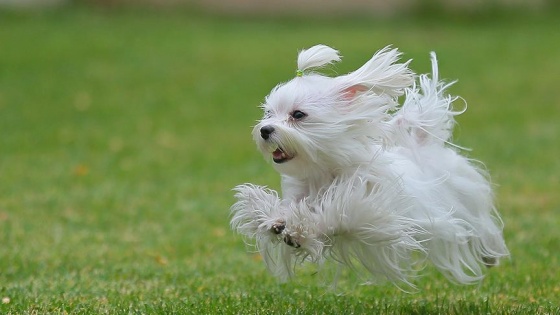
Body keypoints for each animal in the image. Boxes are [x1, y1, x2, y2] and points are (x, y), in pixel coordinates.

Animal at [230, 45, 510, 286]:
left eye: (298, 115)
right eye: (268, 113)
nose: (265, 130)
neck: (323, 171)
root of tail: (422, 145)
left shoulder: (366, 206)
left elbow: (334, 214)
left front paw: (300, 229)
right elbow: (281, 209)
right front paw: (273, 219)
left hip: (464, 202)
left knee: (481, 227)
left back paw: (490, 254)